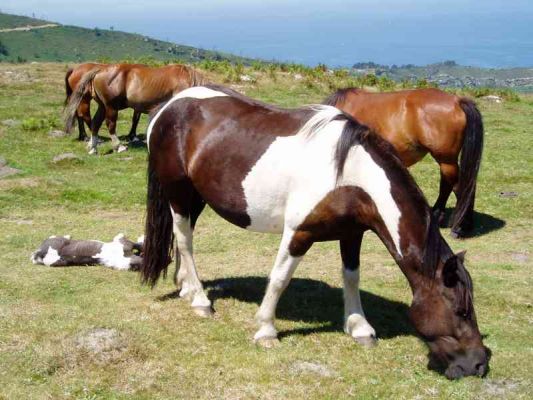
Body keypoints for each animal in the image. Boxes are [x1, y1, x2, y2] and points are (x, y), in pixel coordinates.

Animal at [62, 63, 204, 154]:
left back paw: (93, 147)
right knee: (109, 124)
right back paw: (118, 146)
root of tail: (100, 70)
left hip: (102, 106)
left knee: (95, 123)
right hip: (110, 106)